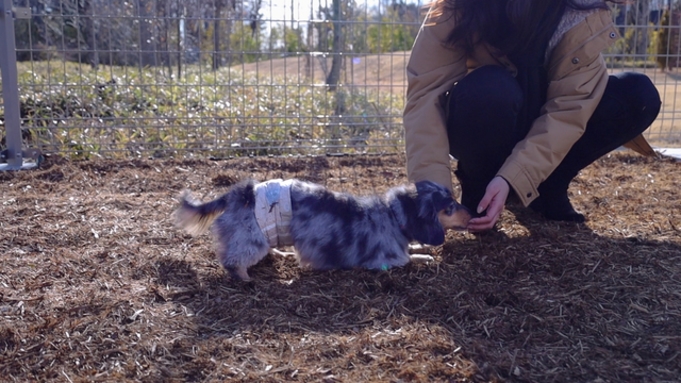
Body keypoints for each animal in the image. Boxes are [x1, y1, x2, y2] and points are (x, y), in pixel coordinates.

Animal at [173, 178, 470, 280]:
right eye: (450, 207)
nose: (473, 212)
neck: (393, 215)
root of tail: (241, 192)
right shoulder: (385, 261)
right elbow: (412, 258)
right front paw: (427, 257)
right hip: (251, 238)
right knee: (233, 259)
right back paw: (244, 277)